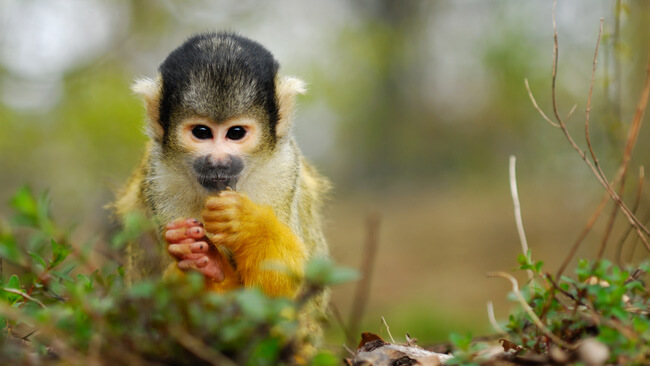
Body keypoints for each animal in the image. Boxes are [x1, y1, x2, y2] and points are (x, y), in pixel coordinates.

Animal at [112, 32, 330, 348]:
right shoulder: (160, 177)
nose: (218, 161)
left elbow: (280, 292)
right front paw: (207, 267)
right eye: (201, 133)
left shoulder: (282, 170)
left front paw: (247, 226)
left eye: (235, 133)